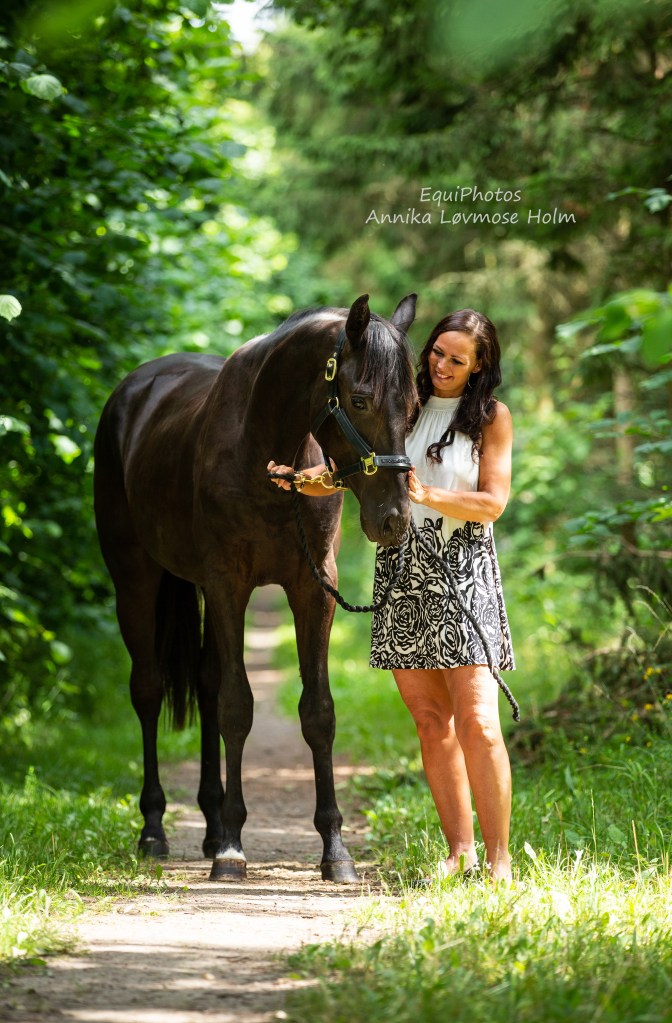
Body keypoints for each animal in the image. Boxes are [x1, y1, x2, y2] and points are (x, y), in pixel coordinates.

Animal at [93, 292, 418, 883]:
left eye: (412, 406)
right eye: (360, 399)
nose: (394, 520)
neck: (266, 450)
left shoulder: (313, 588)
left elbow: (317, 712)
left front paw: (334, 849)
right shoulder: (228, 584)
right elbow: (237, 707)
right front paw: (232, 849)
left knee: (204, 682)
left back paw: (210, 821)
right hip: (134, 578)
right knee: (148, 690)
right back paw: (155, 829)